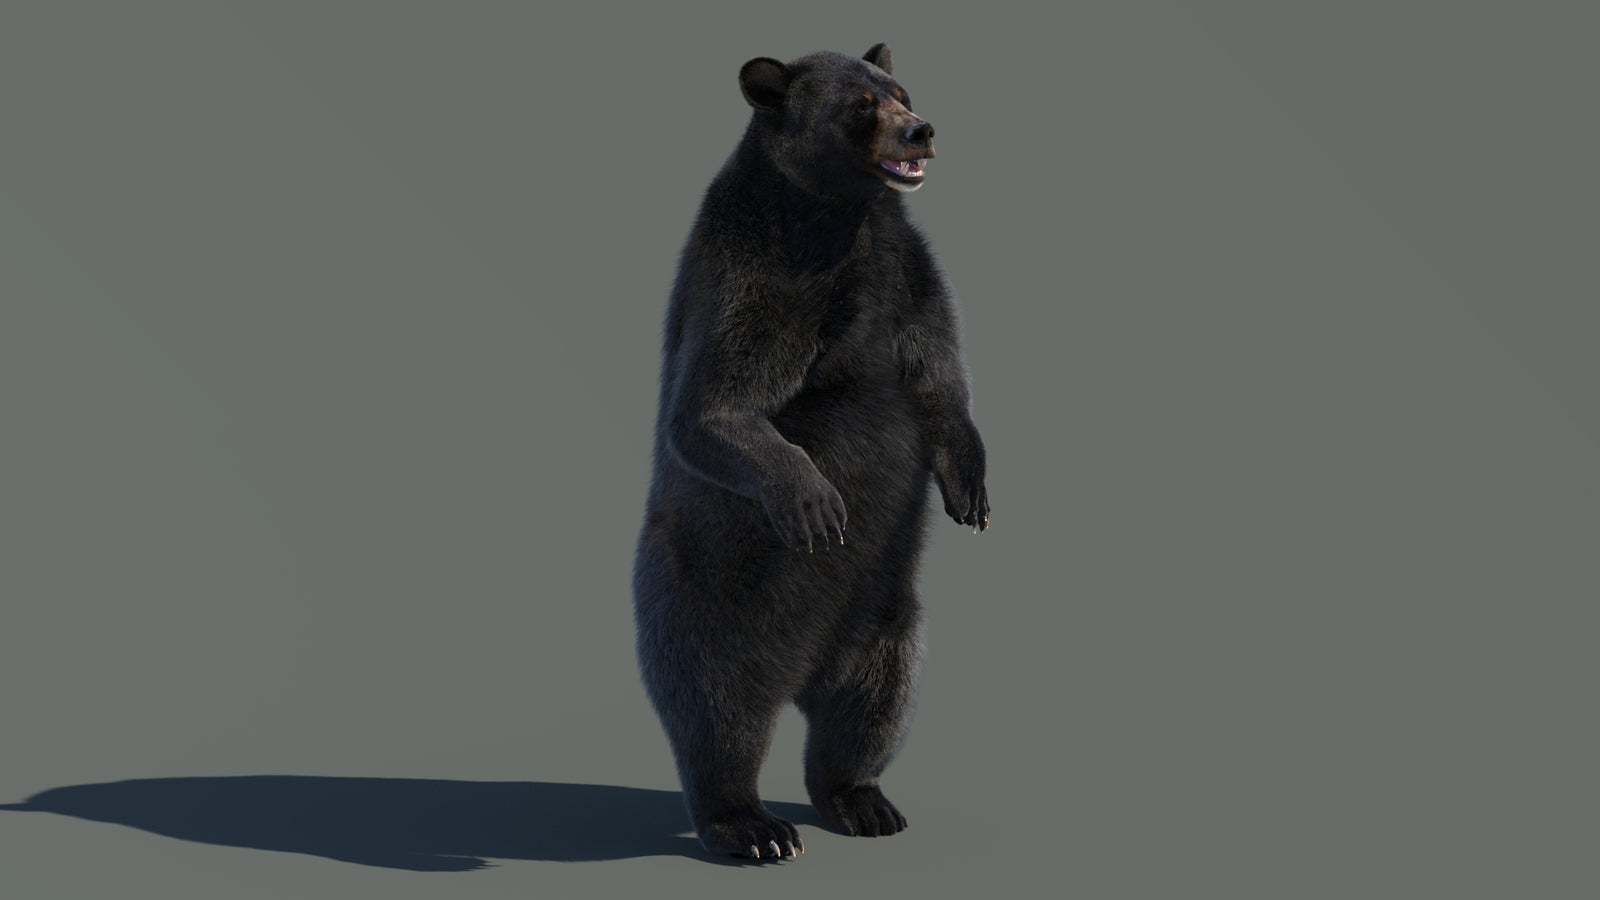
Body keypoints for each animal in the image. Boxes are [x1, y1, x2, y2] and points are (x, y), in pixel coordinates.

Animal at [632, 43, 989, 861]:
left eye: (901, 88)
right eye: (860, 104)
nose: (921, 129)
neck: (837, 215)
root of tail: (798, 672)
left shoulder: (904, 267)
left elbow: (939, 371)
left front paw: (971, 490)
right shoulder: (759, 272)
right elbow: (714, 406)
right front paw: (817, 501)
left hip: (886, 617)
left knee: (872, 701)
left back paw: (863, 801)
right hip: (706, 600)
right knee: (717, 710)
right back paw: (752, 826)